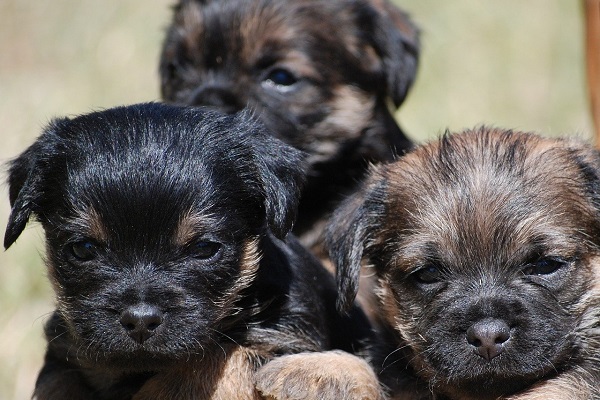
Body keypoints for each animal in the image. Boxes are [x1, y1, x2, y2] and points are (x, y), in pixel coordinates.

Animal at [5, 104, 370, 400]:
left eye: (204, 249)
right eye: (82, 249)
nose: (140, 320)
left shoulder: (290, 340)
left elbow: (217, 359)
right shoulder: (65, 351)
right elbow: (58, 382)